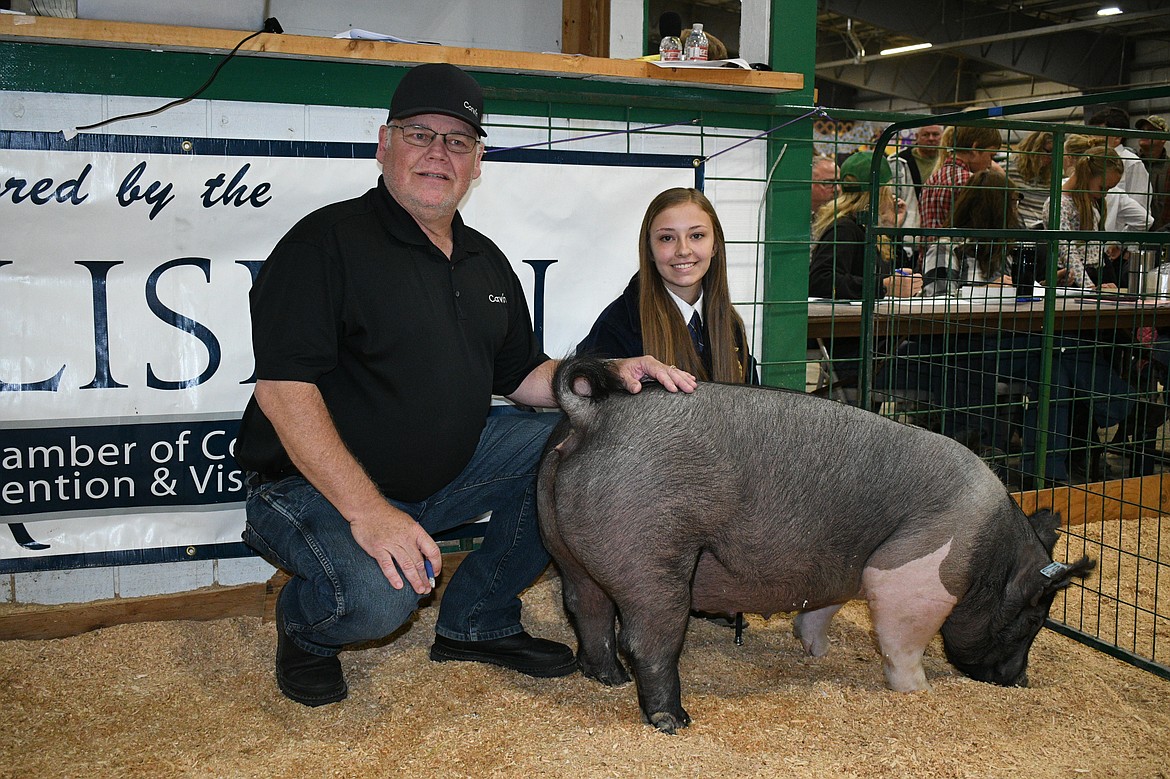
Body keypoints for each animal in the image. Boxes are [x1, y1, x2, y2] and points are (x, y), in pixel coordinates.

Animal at [535, 355, 1090, 729]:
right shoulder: (908, 572)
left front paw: (815, 651)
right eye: (1034, 620)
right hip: (652, 556)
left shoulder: (845, 569)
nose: (1020, 680)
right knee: (649, 638)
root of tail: (591, 416)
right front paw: (918, 692)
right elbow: (901, 639)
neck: (992, 561)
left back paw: (607, 678)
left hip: (566, 549)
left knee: (585, 608)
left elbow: (822, 607)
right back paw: (675, 720)